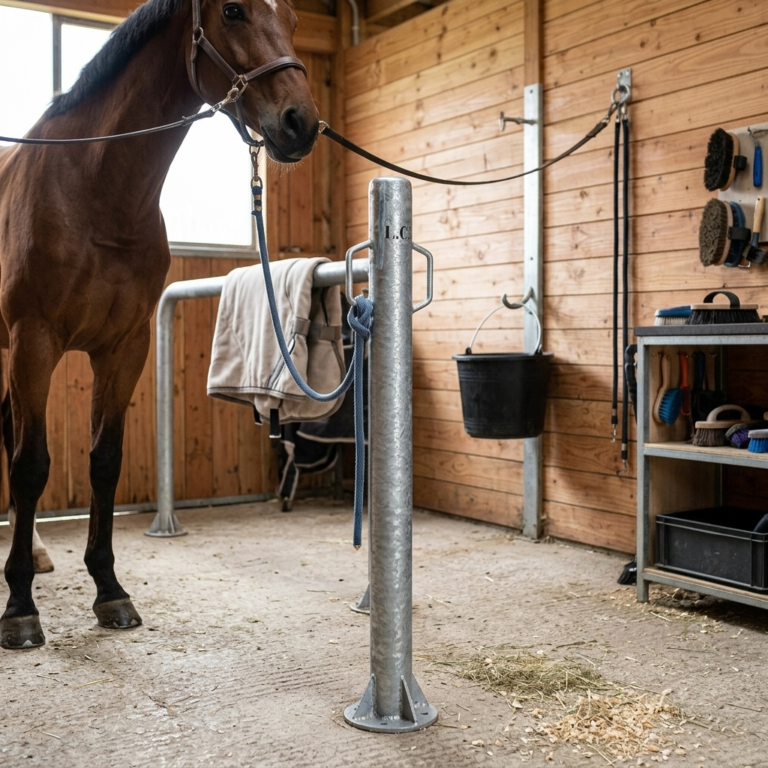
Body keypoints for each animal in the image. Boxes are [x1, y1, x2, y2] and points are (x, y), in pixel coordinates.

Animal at [0, 0, 318, 649]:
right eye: (233, 10)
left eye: (294, 20)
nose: (301, 122)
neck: (93, 191)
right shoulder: (33, 341)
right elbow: (31, 463)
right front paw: (19, 607)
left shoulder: (125, 347)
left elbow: (104, 461)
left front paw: (109, 590)